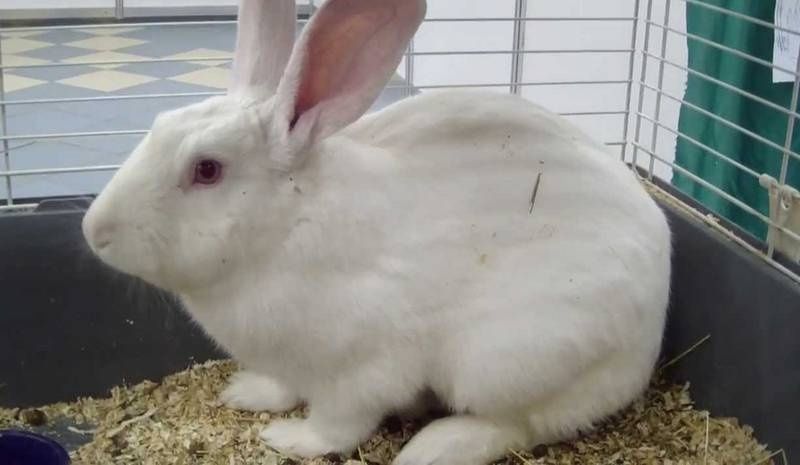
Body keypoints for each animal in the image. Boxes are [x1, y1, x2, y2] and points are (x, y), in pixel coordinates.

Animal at [81, 0, 672, 464]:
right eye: (157, 125)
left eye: (207, 170)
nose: (94, 231)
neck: (286, 227)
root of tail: (646, 347)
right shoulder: (293, 364)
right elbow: (284, 385)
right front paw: (247, 393)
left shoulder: (360, 371)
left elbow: (339, 425)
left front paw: (289, 438)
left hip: (511, 359)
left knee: (516, 424)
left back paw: (432, 449)